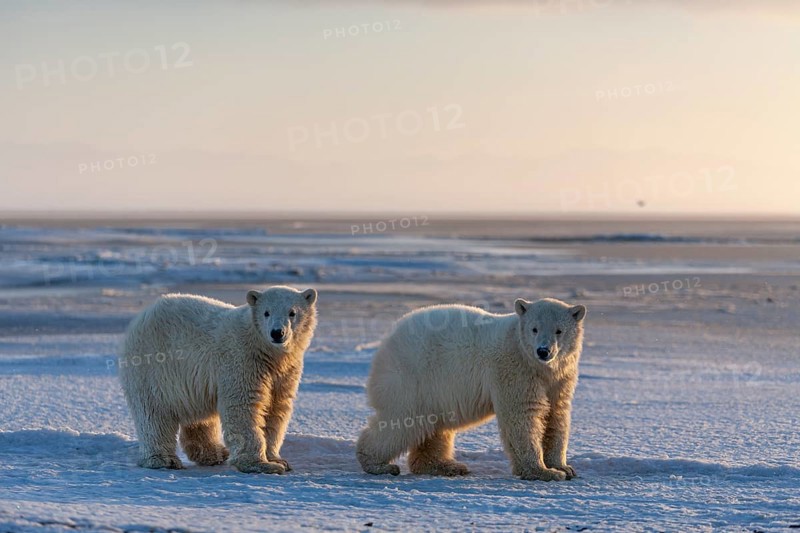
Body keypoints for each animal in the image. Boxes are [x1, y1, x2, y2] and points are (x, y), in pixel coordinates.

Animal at [118, 285, 317, 474]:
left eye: (292, 312)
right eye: (266, 312)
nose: (277, 333)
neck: (262, 348)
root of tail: (141, 317)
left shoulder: (284, 372)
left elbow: (276, 408)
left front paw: (278, 460)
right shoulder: (242, 361)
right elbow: (243, 407)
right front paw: (260, 464)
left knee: (199, 417)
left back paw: (214, 453)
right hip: (153, 369)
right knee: (155, 414)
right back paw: (163, 460)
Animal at [356, 297, 586, 481]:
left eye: (559, 330)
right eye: (534, 328)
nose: (543, 351)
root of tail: (389, 339)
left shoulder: (560, 378)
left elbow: (557, 415)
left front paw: (564, 467)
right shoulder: (514, 370)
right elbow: (523, 416)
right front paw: (543, 471)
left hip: (434, 390)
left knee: (432, 426)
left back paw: (446, 466)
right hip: (413, 377)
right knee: (403, 421)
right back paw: (378, 464)